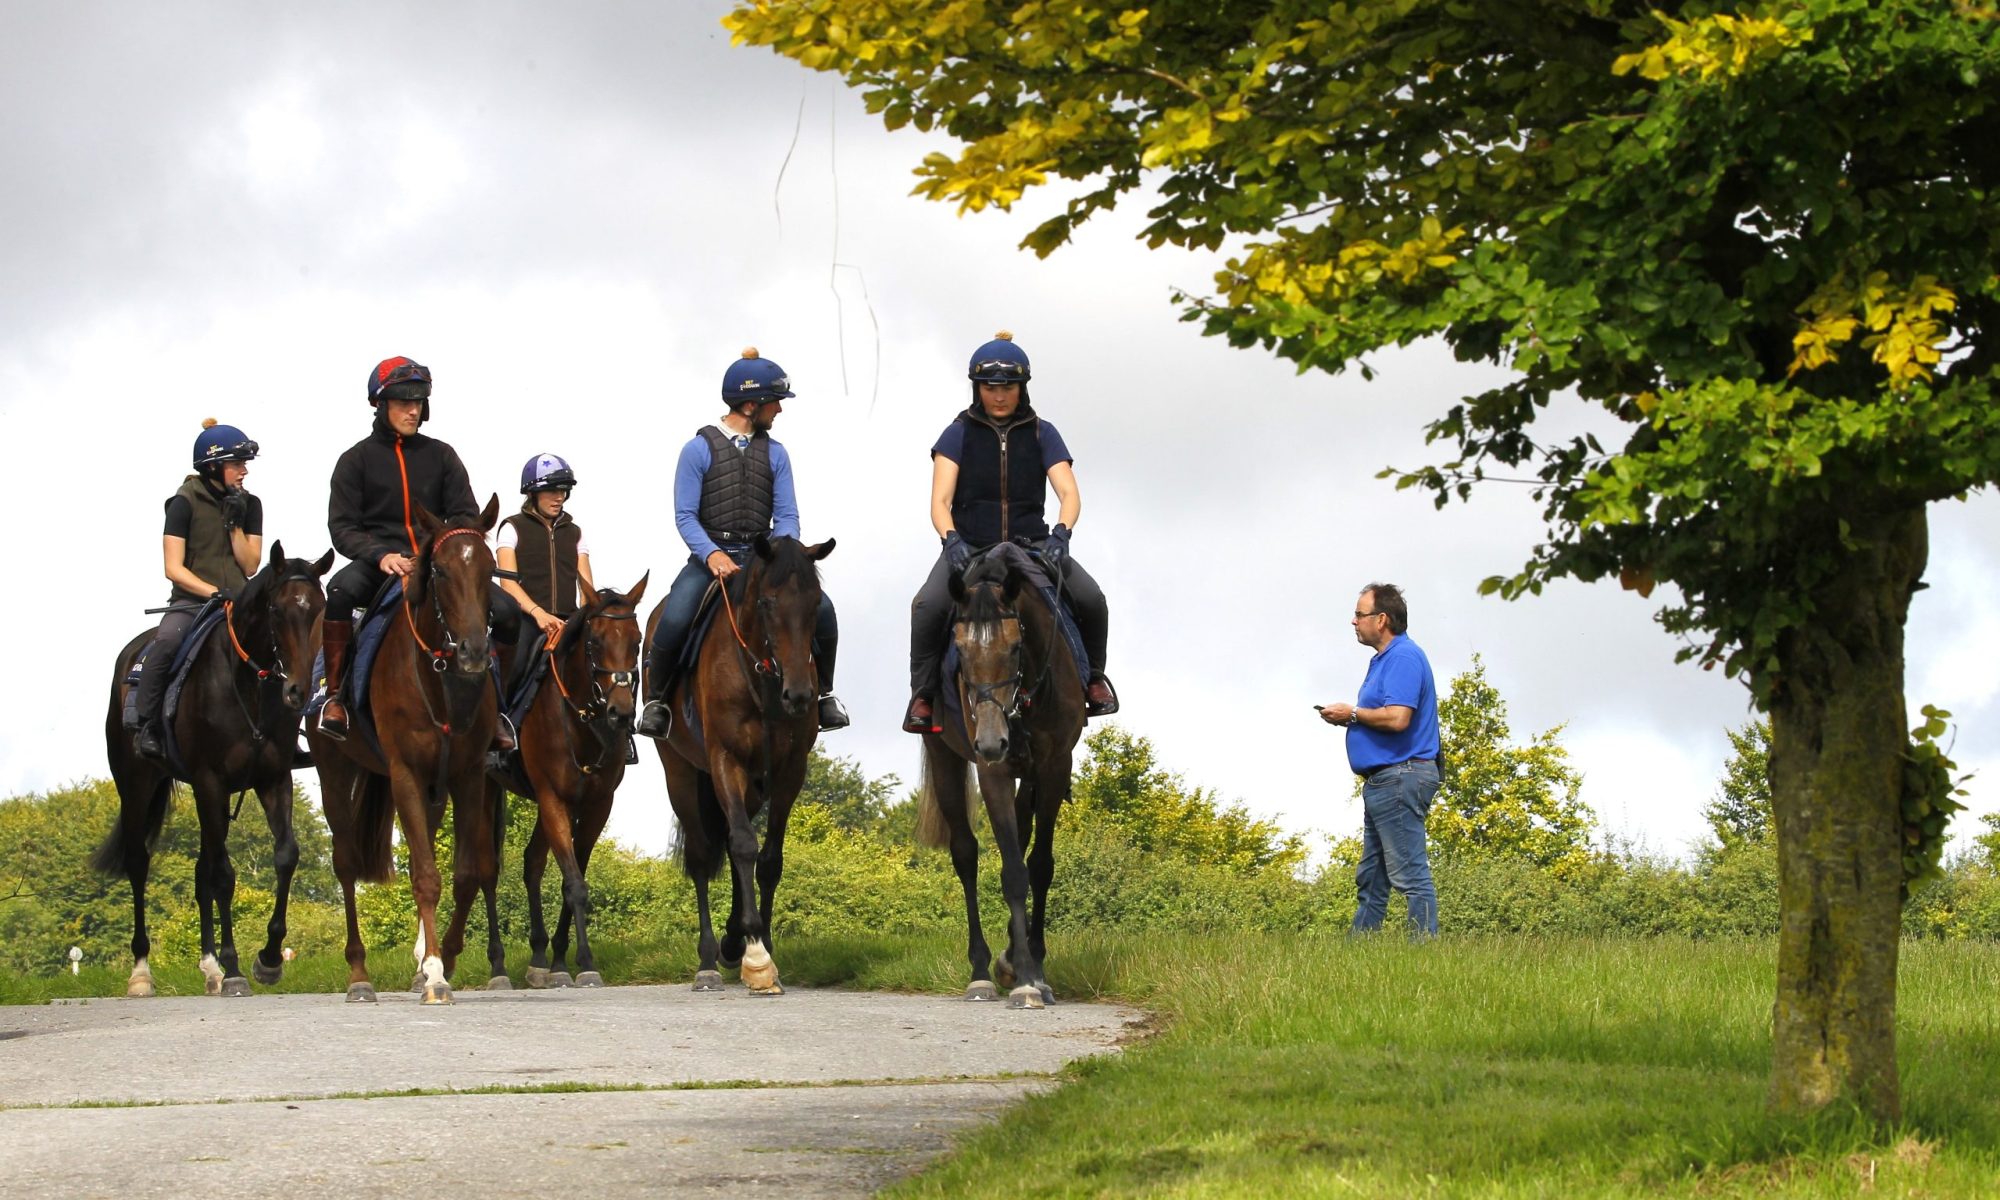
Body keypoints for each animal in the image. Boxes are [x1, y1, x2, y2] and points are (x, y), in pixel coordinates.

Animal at [97, 540, 336, 992]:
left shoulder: (272, 779)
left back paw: (209, 968)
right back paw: (142, 971)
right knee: (140, 862)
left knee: (199, 868)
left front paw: (268, 958)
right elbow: (224, 876)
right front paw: (235, 967)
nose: (298, 690)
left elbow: (285, 855)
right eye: (276, 610)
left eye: (319, 608)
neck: (248, 686)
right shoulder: (211, 782)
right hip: (136, 786)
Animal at [308, 496, 508, 1004]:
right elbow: (425, 876)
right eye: (438, 570)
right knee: (345, 864)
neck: (440, 682)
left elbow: (465, 874)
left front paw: (442, 961)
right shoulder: (405, 775)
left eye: (490, 568)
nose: (474, 652)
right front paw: (436, 975)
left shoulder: (467, 776)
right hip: (334, 774)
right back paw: (359, 975)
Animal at [508, 576, 648, 988]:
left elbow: (575, 878)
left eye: (636, 640)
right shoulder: (553, 799)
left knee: (532, 863)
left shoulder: (597, 804)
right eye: (594, 641)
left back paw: (538, 957)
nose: (621, 713)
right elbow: (573, 883)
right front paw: (583, 961)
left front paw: (562, 961)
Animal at [648, 536, 836, 992]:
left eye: (815, 602)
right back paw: (708, 962)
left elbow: (766, 858)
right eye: (767, 602)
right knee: (702, 854)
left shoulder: (789, 771)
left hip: (750, 786)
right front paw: (755, 957)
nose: (798, 695)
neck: (762, 678)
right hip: (681, 774)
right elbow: (744, 845)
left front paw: (758, 941)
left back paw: (732, 941)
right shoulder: (724, 760)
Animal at [916, 548, 1088, 1008]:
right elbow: (1013, 871)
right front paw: (1025, 977)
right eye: (959, 649)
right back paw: (980, 972)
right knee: (965, 854)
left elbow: (1039, 865)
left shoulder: (1053, 767)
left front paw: (1032, 968)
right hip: (946, 759)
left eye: (1014, 647)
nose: (993, 741)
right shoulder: (992, 772)